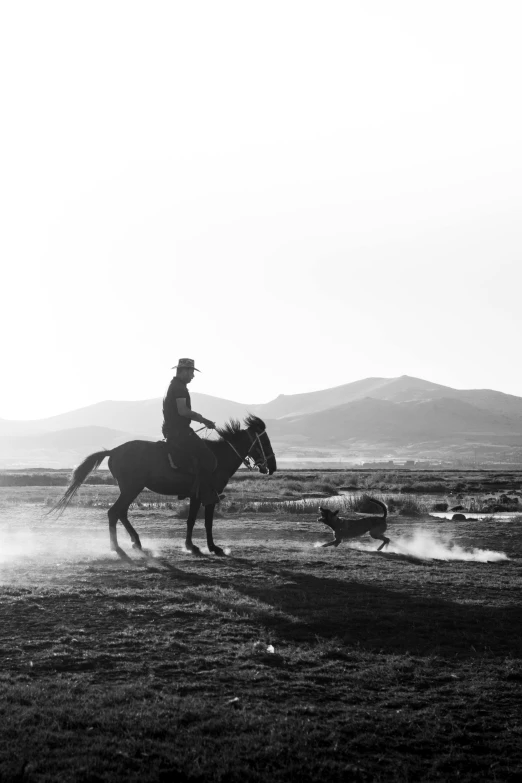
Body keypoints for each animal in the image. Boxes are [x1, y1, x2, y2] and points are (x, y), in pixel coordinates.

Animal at [50, 416, 274, 556]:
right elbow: (206, 522)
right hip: (132, 488)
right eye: (264, 441)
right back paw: (117, 547)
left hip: (130, 489)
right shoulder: (208, 495)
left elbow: (192, 520)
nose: (272, 466)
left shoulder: (196, 495)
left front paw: (191, 546)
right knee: (114, 512)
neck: (219, 457)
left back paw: (135, 542)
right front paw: (211, 547)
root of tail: (113, 451)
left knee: (121, 512)